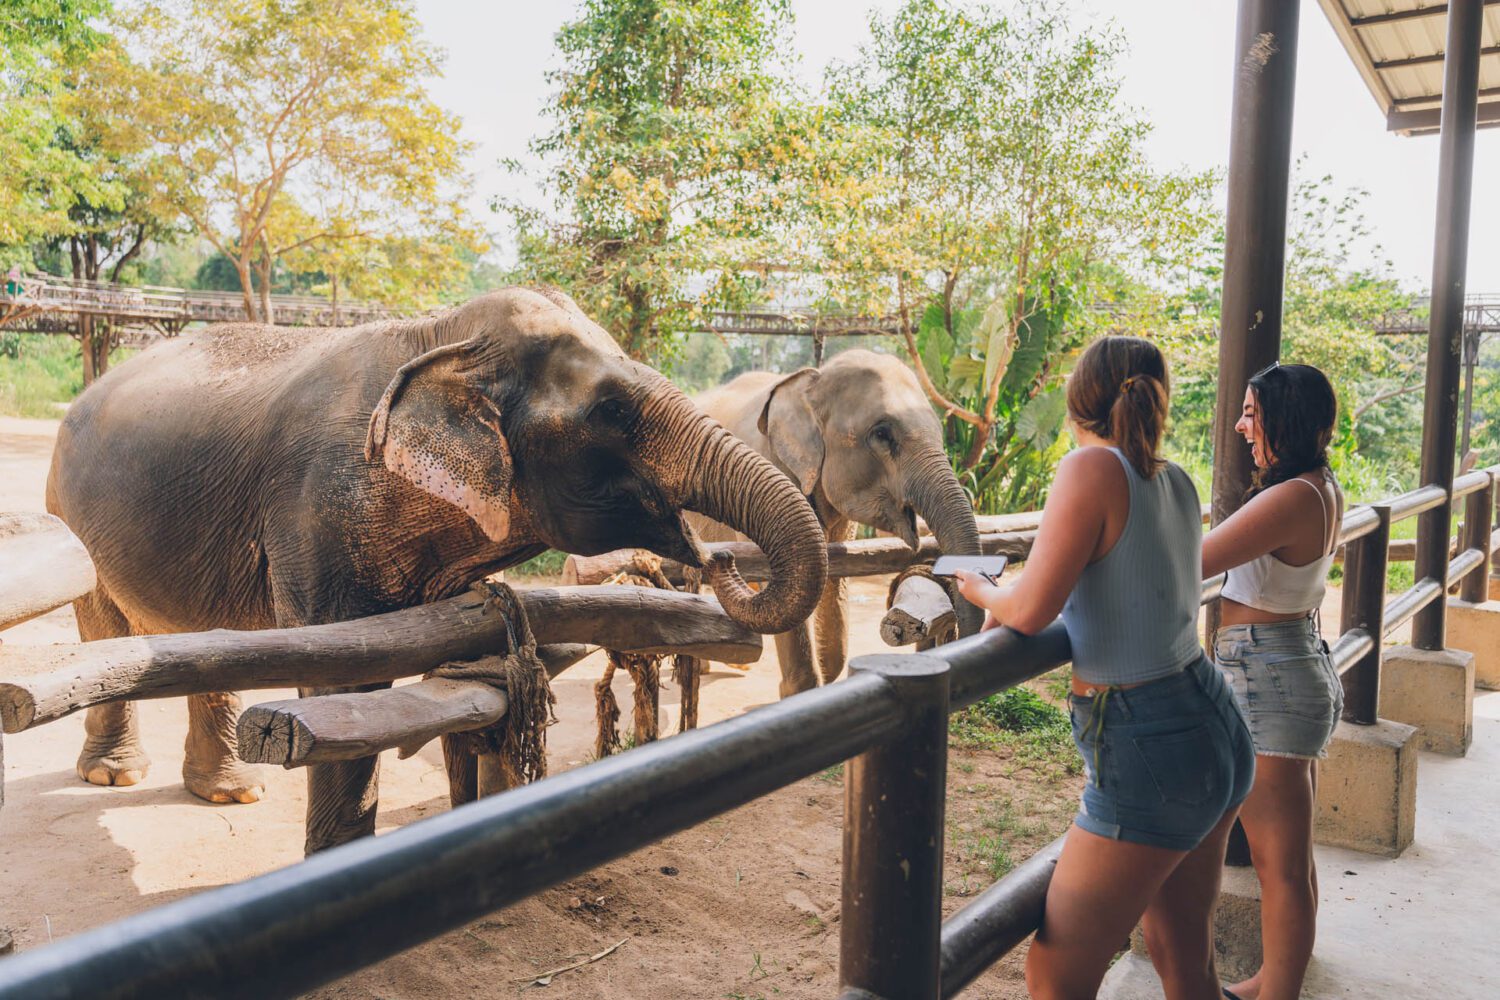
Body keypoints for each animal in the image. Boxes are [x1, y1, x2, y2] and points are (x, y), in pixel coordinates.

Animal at [46, 287, 828, 851]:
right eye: (611, 411)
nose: (719, 556)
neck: (443, 337)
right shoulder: (317, 506)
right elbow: (343, 683)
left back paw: (230, 792)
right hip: (67, 511)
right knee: (103, 627)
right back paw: (117, 776)